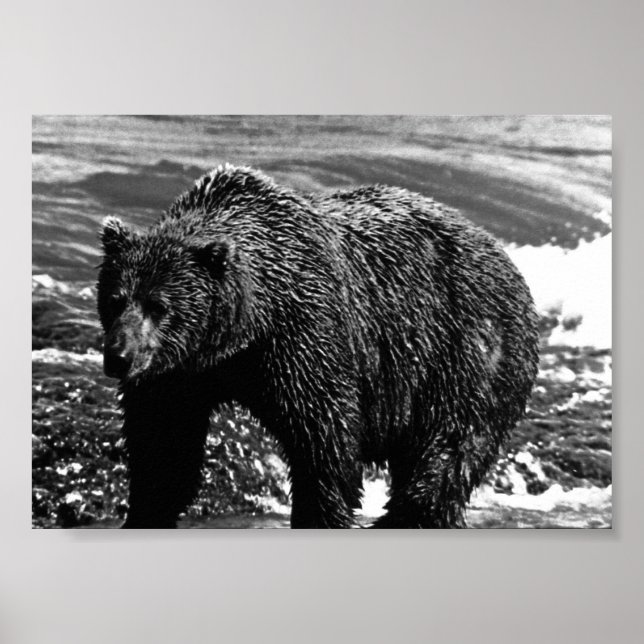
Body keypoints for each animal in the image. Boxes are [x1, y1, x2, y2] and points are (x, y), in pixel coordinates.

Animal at [96, 164, 539, 529]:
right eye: (115, 299)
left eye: (159, 305)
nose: (119, 357)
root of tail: (506, 257)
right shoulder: (180, 373)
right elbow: (162, 445)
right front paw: (147, 509)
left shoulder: (303, 331)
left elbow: (324, 440)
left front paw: (323, 513)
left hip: (465, 353)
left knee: (448, 451)